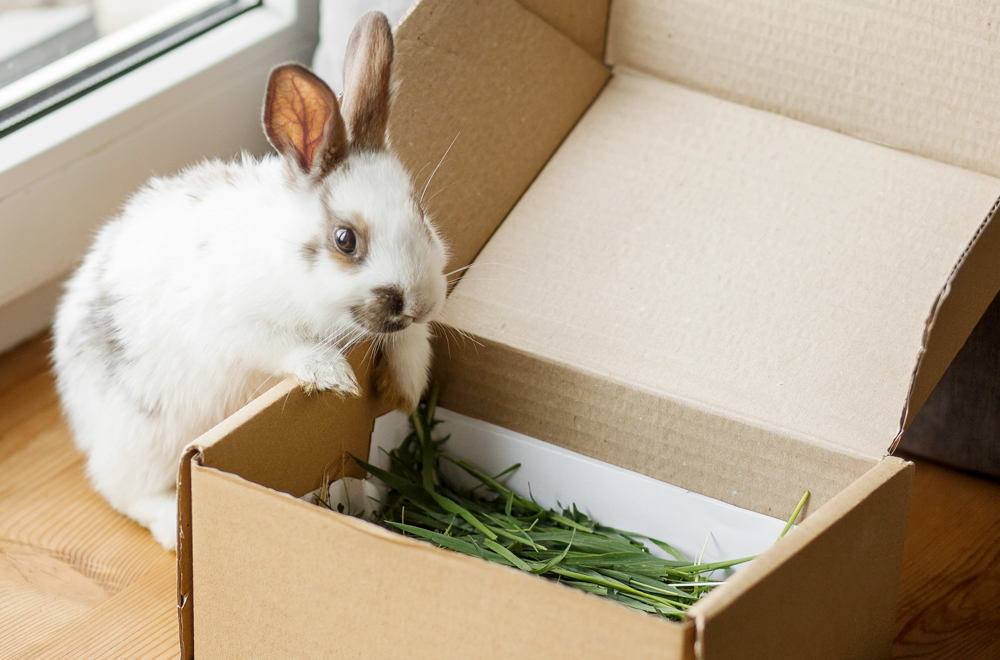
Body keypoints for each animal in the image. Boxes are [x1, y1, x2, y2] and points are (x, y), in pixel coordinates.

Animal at [48, 12, 448, 556]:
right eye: (345, 240)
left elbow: (407, 342)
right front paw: (336, 376)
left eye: (421, 213)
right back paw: (172, 527)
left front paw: (406, 386)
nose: (422, 302)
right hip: (146, 442)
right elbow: (286, 347)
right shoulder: (237, 330)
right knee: (123, 492)